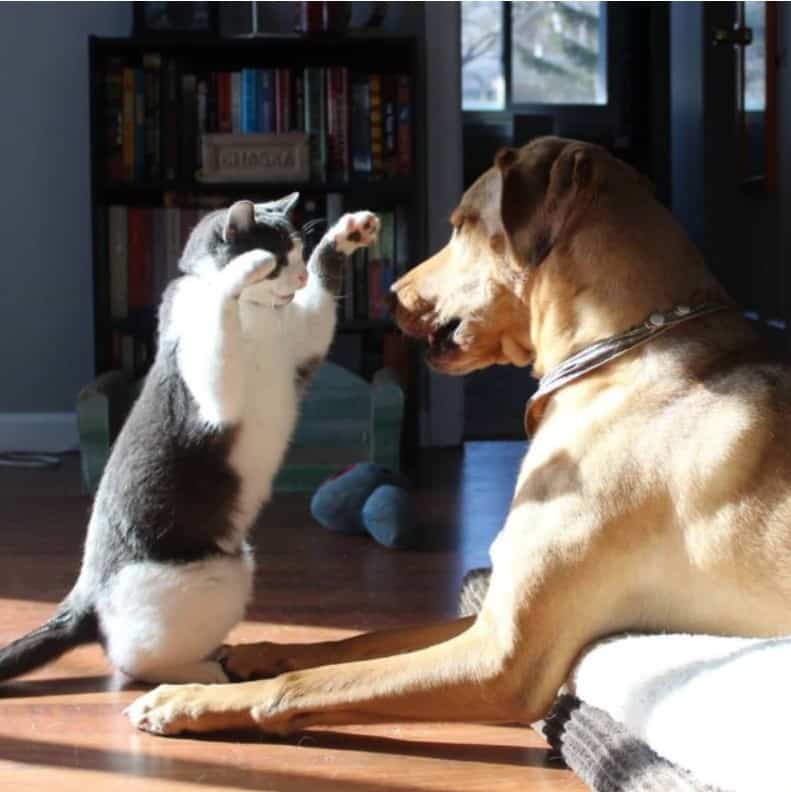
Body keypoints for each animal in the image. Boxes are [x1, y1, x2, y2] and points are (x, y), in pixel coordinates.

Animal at [0, 195, 380, 684]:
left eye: (299, 255)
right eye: (280, 259)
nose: (295, 278)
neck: (259, 316)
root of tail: (84, 596)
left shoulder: (302, 338)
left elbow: (320, 297)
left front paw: (348, 234)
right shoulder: (215, 393)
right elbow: (221, 304)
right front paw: (243, 269)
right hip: (213, 576)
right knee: (132, 661)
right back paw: (204, 672)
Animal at [124, 136, 791, 736]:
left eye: (463, 226)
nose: (389, 294)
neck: (622, 350)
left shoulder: (503, 657)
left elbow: (310, 682)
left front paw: (191, 700)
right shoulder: (489, 614)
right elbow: (360, 639)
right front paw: (258, 651)